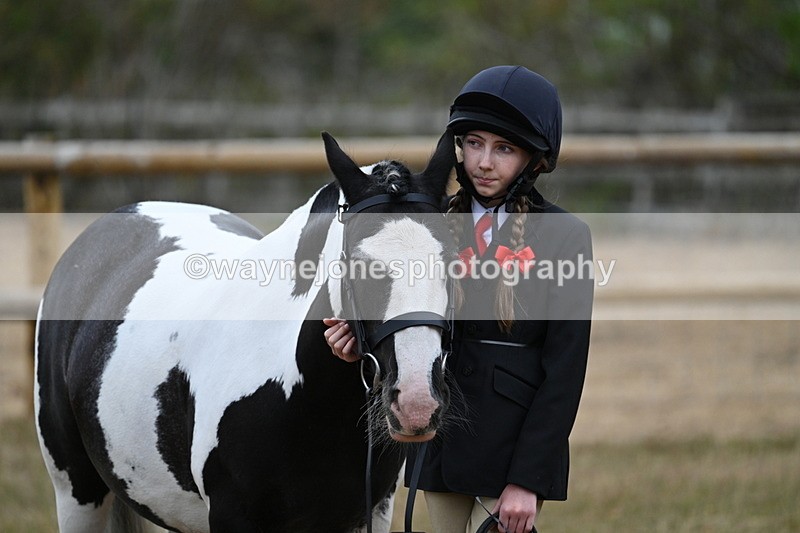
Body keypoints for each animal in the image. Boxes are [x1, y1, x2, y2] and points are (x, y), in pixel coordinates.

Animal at [34, 130, 456, 532]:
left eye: (453, 259)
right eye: (358, 263)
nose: (417, 404)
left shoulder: (369, 513)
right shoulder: (230, 515)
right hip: (76, 492)